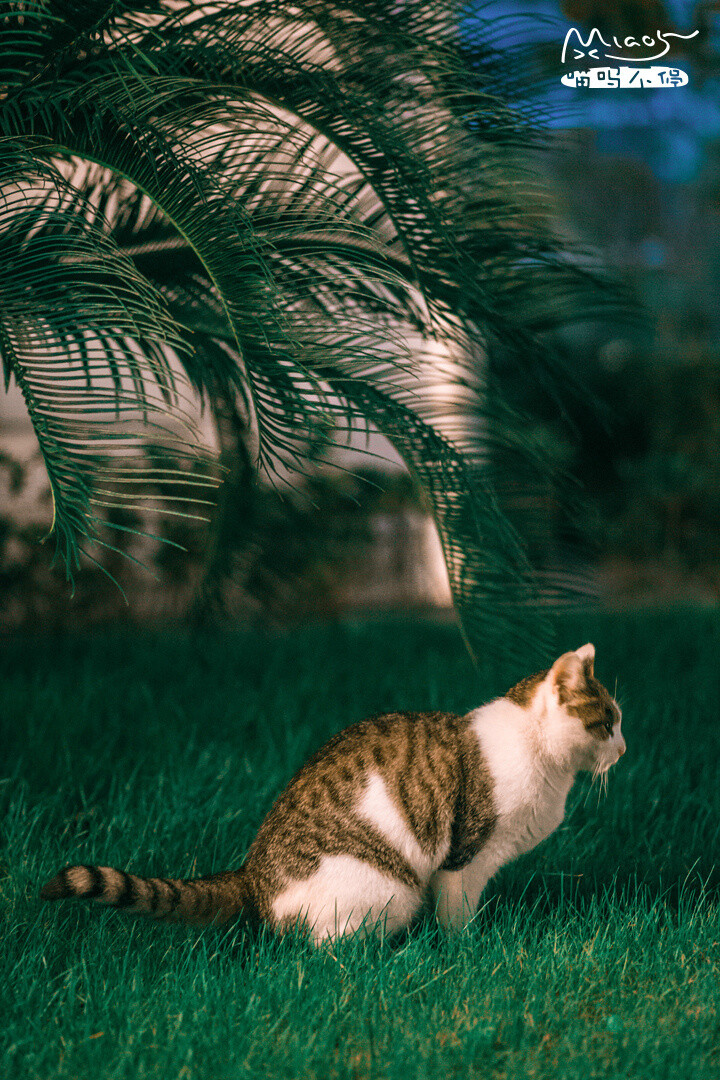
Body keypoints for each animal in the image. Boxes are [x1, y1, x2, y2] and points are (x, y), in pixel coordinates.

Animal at [39, 643, 626, 941]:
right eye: (607, 723)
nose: (623, 749)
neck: (544, 759)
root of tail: (252, 874)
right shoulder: (465, 859)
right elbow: (457, 917)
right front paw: (467, 952)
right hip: (387, 889)